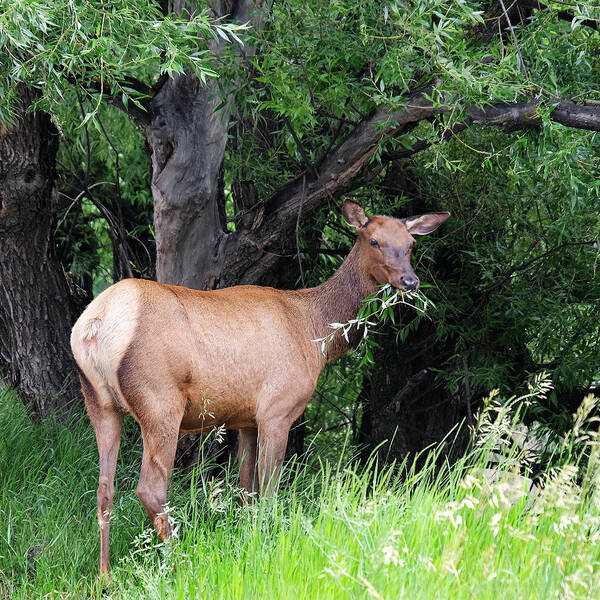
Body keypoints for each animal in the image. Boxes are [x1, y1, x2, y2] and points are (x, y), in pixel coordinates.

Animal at [70, 199, 448, 576]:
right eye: (374, 241)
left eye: (410, 244)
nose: (410, 281)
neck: (315, 333)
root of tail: (95, 325)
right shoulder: (278, 408)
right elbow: (268, 491)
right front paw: (264, 549)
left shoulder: (247, 419)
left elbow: (244, 491)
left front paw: (246, 542)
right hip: (159, 400)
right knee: (150, 489)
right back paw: (179, 564)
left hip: (99, 402)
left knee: (104, 489)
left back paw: (105, 576)